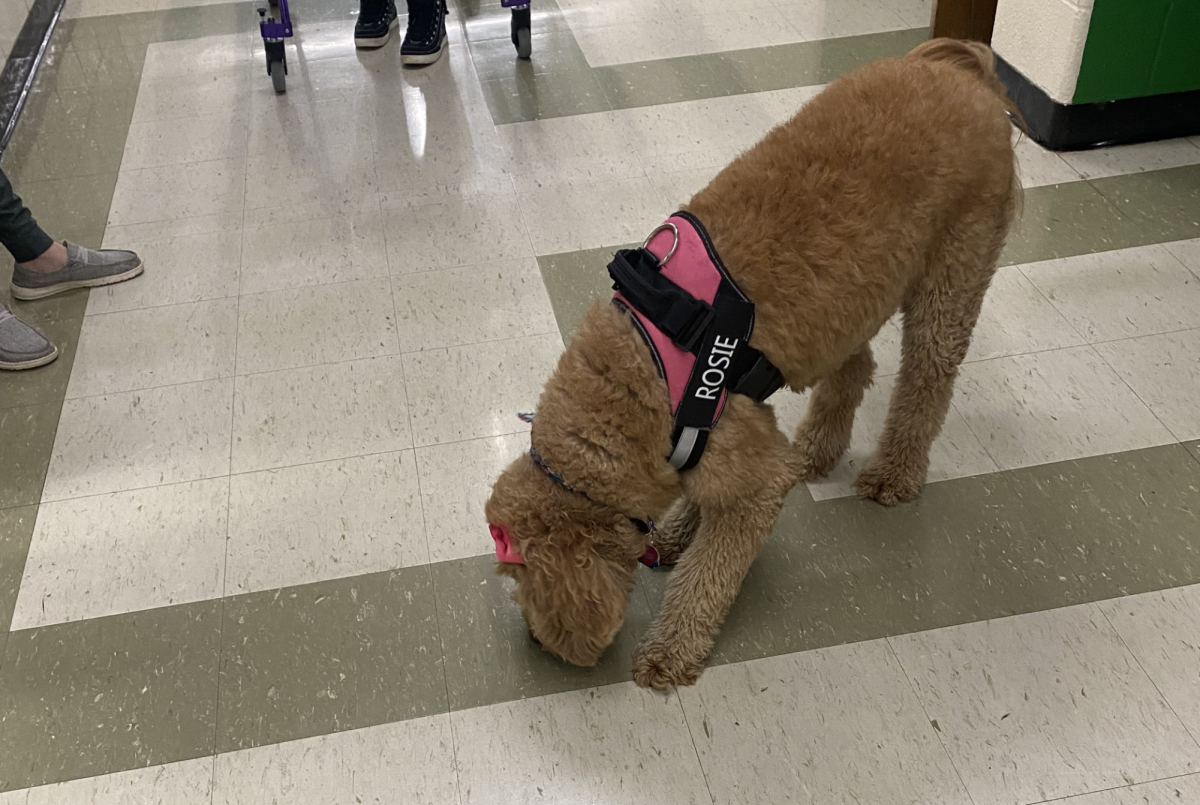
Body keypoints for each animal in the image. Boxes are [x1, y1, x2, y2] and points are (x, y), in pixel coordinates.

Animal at [482, 39, 1017, 691]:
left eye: (521, 580)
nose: (537, 642)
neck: (640, 375)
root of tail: (959, 68)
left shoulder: (752, 475)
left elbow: (710, 574)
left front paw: (671, 647)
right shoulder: (726, 437)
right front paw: (677, 533)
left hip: (951, 282)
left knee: (927, 380)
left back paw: (895, 473)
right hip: (851, 299)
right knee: (857, 366)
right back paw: (817, 446)